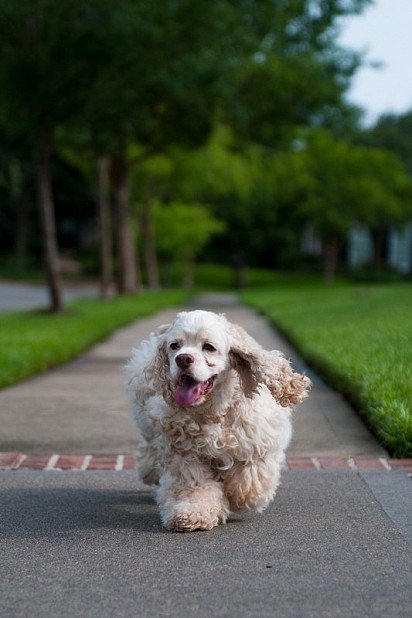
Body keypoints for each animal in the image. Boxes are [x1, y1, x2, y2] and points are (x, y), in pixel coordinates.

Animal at [125, 308, 308, 528]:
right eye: (174, 346)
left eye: (209, 347)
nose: (182, 359)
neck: (213, 410)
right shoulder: (184, 453)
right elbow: (194, 486)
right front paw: (191, 513)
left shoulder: (260, 440)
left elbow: (249, 481)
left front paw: (236, 495)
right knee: (149, 447)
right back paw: (149, 470)